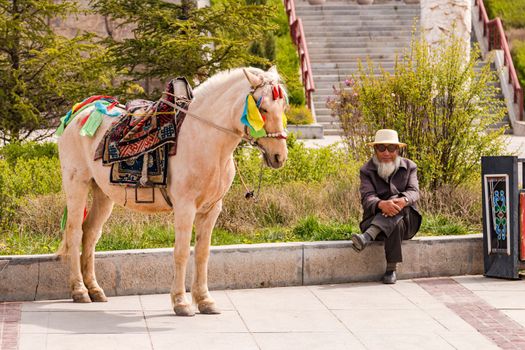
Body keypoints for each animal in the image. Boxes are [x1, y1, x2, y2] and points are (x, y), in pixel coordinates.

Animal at [56, 67, 288, 316]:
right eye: (263, 109)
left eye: (283, 107)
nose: (279, 156)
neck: (205, 139)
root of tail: (81, 112)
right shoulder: (185, 207)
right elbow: (182, 251)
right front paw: (181, 302)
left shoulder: (212, 209)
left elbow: (203, 253)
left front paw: (204, 300)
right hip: (77, 185)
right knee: (75, 232)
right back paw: (79, 290)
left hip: (102, 193)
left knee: (90, 234)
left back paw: (94, 289)